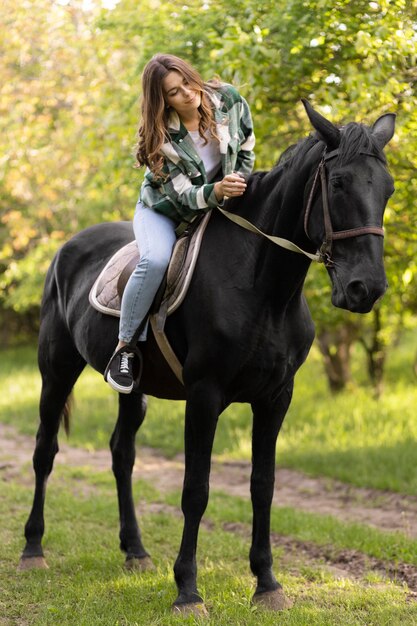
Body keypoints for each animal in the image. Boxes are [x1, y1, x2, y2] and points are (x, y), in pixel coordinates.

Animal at [19, 100, 394, 612]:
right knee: (45, 451)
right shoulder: (204, 395)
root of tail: (66, 248)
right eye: (338, 183)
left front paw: (267, 584)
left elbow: (263, 485)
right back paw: (33, 549)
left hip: (133, 390)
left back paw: (135, 551)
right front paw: (187, 590)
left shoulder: (276, 399)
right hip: (55, 369)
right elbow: (195, 489)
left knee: (121, 454)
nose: (365, 289)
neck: (263, 286)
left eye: (388, 188)